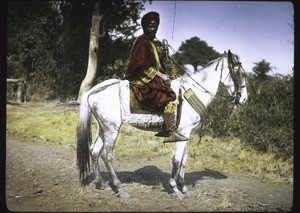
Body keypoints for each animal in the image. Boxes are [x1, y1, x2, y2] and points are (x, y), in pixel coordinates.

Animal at [76, 50, 247, 200]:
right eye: (238, 72)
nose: (244, 99)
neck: (193, 91)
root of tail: (93, 91)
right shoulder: (182, 132)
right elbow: (177, 160)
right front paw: (175, 189)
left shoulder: (187, 135)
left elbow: (184, 160)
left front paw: (183, 187)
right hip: (112, 129)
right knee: (107, 155)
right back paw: (120, 189)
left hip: (104, 127)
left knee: (94, 151)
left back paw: (101, 183)